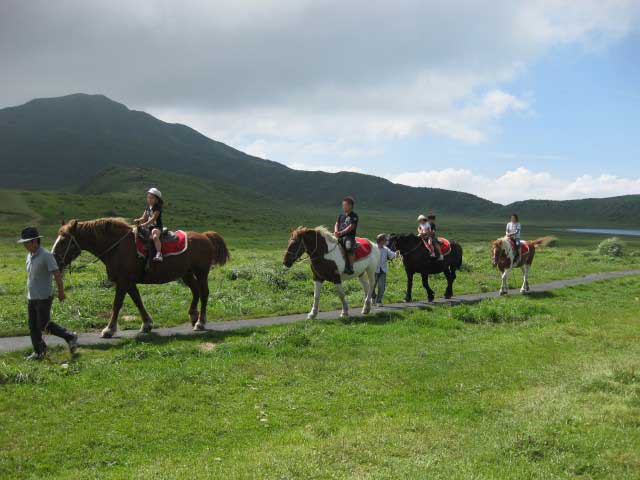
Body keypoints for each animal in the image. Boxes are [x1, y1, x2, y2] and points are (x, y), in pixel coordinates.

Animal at [52, 218, 230, 338]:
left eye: (64, 240)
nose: (54, 259)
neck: (116, 246)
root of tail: (205, 236)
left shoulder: (123, 281)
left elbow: (117, 304)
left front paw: (109, 329)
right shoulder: (129, 282)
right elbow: (137, 300)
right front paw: (146, 324)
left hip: (201, 272)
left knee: (204, 293)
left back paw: (200, 322)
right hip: (186, 273)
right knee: (196, 291)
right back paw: (193, 316)